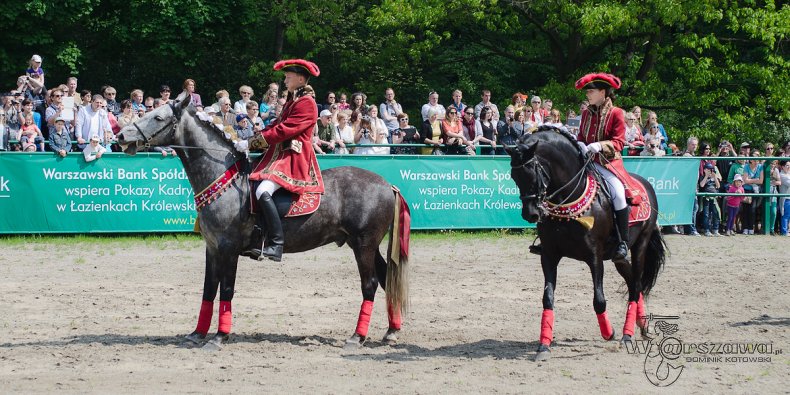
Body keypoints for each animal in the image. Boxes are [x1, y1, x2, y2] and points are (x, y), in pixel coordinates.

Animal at [122, 93, 414, 352]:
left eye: (158, 117)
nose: (122, 136)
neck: (224, 180)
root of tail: (387, 184)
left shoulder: (228, 249)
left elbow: (226, 290)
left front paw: (219, 337)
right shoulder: (212, 248)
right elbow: (209, 289)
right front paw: (197, 334)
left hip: (363, 245)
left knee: (370, 284)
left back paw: (357, 337)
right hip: (364, 245)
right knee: (385, 279)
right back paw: (391, 331)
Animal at [508, 126, 668, 362]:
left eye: (533, 171)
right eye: (514, 176)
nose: (531, 214)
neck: (569, 197)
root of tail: (646, 185)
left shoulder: (594, 257)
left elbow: (599, 300)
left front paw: (609, 333)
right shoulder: (549, 255)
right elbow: (548, 298)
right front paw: (543, 346)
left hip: (640, 246)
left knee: (636, 285)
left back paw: (626, 335)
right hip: (618, 258)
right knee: (633, 283)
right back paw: (642, 326)